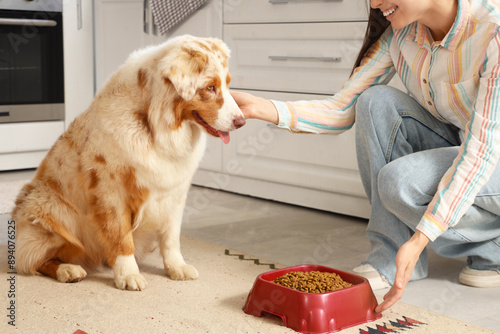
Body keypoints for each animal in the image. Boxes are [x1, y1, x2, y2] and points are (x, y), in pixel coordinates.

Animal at [11, 34, 246, 290]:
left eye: (228, 84)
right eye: (210, 87)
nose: (242, 121)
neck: (155, 127)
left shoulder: (174, 193)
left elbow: (171, 238)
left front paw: (177, 267)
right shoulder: (111, 192)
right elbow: (121, 238)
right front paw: (128, 275)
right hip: (49, 207)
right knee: (34, 260)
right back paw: (68, 269)